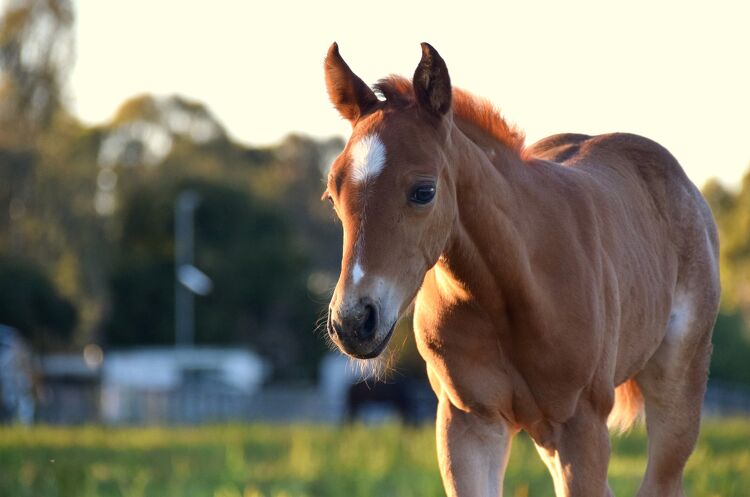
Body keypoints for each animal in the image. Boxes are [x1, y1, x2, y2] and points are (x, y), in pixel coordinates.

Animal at [321, 42, 720, 497]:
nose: (353, 322)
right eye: (332, 193)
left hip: (676, 387)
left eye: (423, 191)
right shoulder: (467, 423)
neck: (508, 289)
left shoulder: (582, 426)